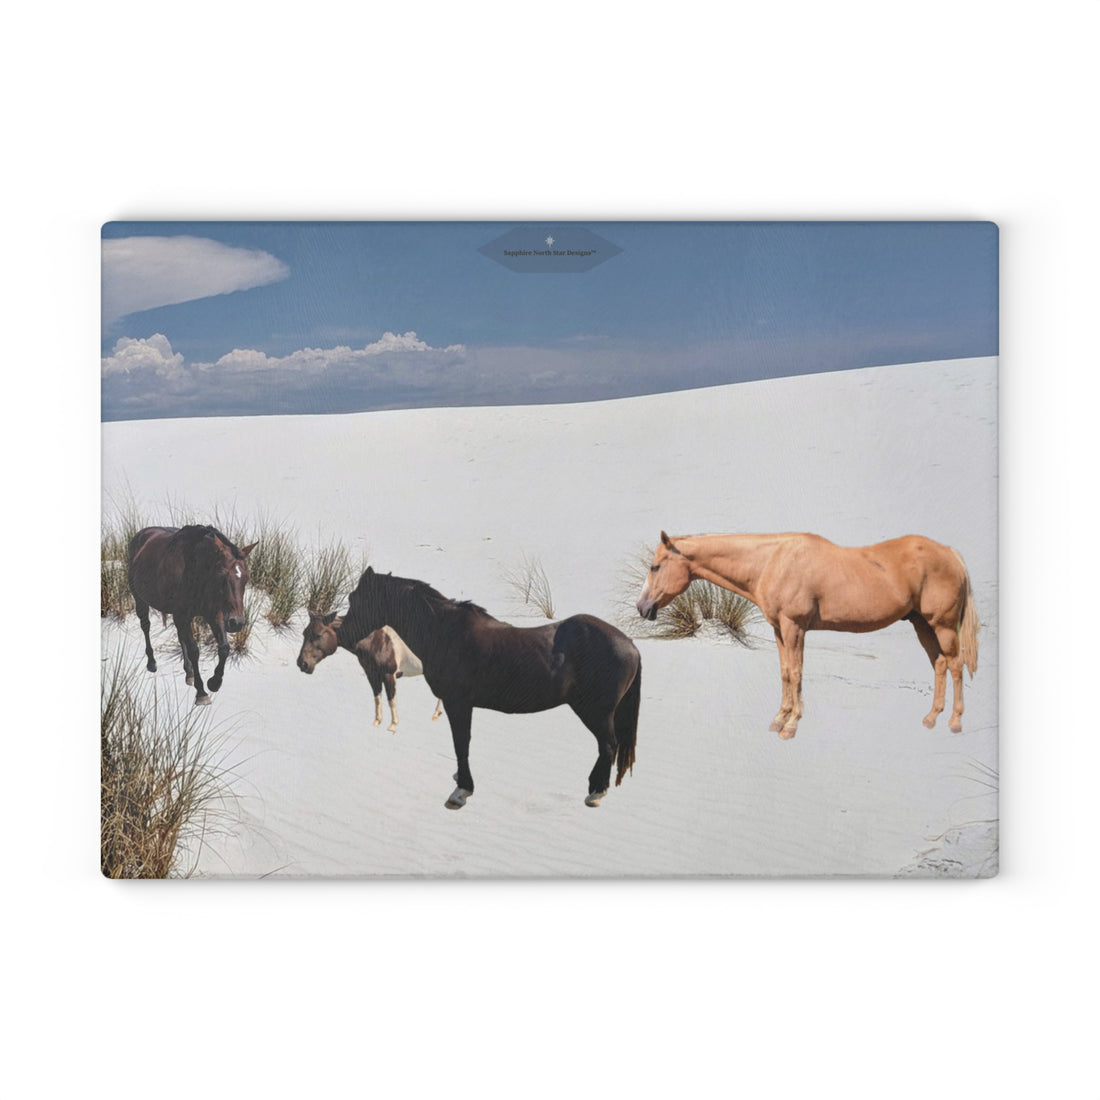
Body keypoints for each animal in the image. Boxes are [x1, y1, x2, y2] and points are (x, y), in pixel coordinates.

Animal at [127, 525, 257, 706]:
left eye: (246, 578)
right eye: (222, 576)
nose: (236, 622)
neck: (196, 571)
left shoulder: (213, 614)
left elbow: (224, 648)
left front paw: (214, 682)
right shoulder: (183, 615)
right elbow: (194, 650)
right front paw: (201, 692)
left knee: (180, 636)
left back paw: (188, 673)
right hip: (140, 600)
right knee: (146, 626)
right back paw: (152, 662)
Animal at [297, 614, 443, 731]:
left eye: (318, 635)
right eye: (304, 633)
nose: (302, 663)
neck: (377, 640)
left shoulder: (389, 675)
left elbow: (391, 700)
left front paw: (392, 726)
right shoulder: (372, 674)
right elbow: (377, 697)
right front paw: (377, 722)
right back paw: (436, 714)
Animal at [338, 568, 642, 809]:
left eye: (354, 598)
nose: (342, 636)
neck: (443, 633)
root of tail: (629, 644)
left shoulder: (458, 703)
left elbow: (461, 744)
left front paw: (462, 790)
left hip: (596, 712)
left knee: (608, 745)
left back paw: (596, 792)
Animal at [637, 531, 980, 738]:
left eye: (656, 566)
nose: (642, 607)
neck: (772, 562)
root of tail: (951, 554)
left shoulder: (795, 627)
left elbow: (797, 673)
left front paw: (790, 725)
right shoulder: (779, 629)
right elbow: (786, 672)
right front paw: (779, 718)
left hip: (943, 624)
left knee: (956, 665)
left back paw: (955, 722)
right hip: (922, 623)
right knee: (939, 664)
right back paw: (931, 718)